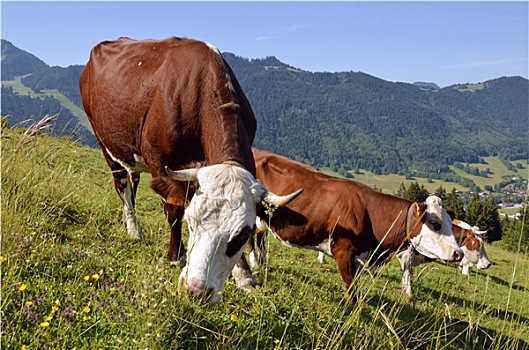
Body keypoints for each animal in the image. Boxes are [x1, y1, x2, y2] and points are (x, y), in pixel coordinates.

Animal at [79, 36, 302, 304]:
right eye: (191, 223)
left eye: (242, 235)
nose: (197, 290)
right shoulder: (159, 161)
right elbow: (173, 211)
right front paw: (177, 256)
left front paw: (244, 276)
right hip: (106, 142)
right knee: (122, 186)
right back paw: (133, 229)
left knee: (133, 181)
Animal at [249, 149, 462, 304]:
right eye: (435, 223)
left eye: (450, 225)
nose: (458, 253)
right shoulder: (343, 251)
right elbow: (351, 290)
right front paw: (352, 313)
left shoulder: (359, 259)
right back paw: (254, 265)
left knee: (260, 239)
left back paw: (262, 264)